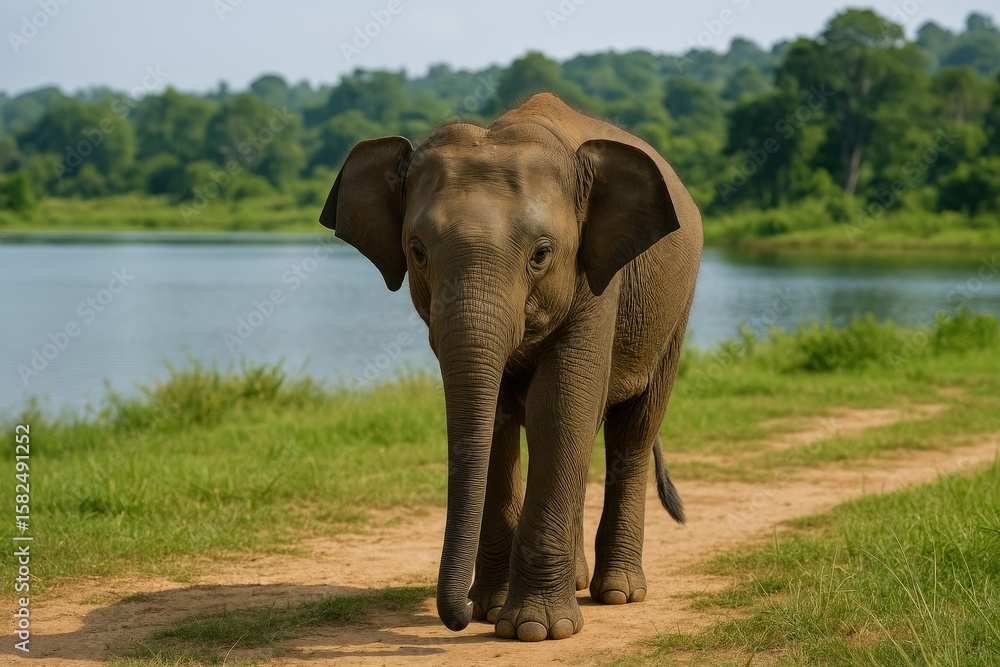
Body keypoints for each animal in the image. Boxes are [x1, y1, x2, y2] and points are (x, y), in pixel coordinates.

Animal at [319, 93, 702, 642]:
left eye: (542, 254)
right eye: (417, 251)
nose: (456, 618)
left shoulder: (597, 282)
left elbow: (560, 406)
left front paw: (536, 630)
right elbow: (501, 420)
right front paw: (491, 610)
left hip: (674, 313)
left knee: (633, 429)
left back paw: (618, 594)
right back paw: (579, 583)